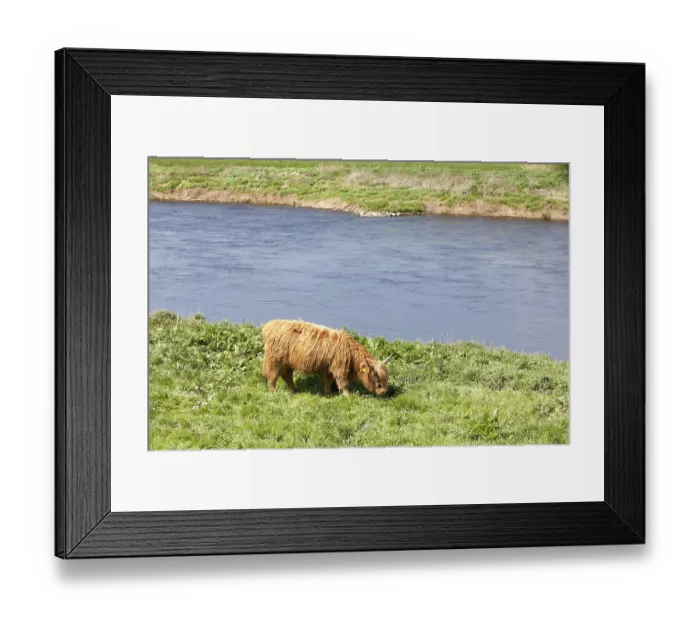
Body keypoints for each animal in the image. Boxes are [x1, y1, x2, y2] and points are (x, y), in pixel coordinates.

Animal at [261, 319, 391, 396]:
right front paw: (347, 395)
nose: (383, 391)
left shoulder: (329, 368)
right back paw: (273, 392)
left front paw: (328, 393)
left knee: (287, 376)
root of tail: (269, 325)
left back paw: (295, 390)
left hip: (287, 363)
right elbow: (343, 383)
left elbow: (328, 381)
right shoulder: (339, 368)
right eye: (376, 377)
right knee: (272, 376)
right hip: (274, 360)